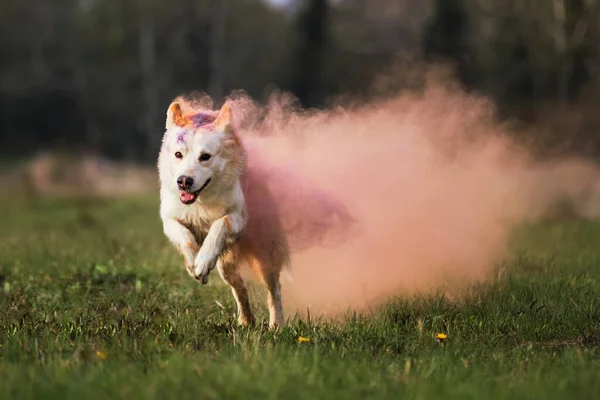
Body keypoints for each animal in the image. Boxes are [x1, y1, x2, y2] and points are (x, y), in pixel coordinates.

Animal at [157, 97, 290, 328]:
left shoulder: (239, 218)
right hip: (226, 267)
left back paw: (277, 325)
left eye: (205, 157)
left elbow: (220, 224)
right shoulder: (169, 218)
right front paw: (193, 264)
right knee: (239, 288)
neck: (201, 201)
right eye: (178, 154)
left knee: (274, 290)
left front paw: (202, 261)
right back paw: (246, 321)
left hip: (266, 254)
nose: (183, 181)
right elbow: (184, 235)